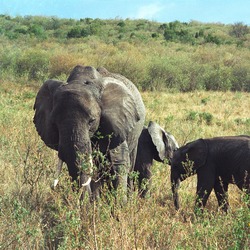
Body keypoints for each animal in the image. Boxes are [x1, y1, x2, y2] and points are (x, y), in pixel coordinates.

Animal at [34, 65, 146, 202]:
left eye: (92, 121)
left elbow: (119, 163)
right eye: (54, 123)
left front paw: (120, 205)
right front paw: (95, 204)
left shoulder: (117, 125)